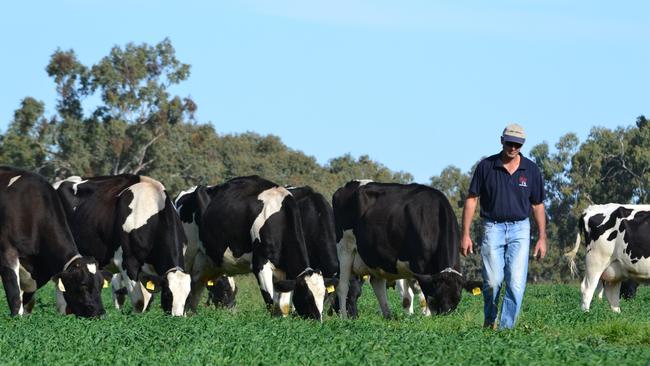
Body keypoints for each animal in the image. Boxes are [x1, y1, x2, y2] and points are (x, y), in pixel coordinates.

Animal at [0, 167, 104, 318]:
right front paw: (16, 319)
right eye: (83, 285)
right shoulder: (8, 252)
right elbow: (14, 294)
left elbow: (27, 299)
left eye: (101, 284)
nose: (101, 314)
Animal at [53, 176, 190, 316]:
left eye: (188, 297)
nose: (177, 317)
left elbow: (148, 298)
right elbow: (140, 301)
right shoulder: (128, 262)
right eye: (168, 294)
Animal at [173, 177, 324, 320]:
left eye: (324, 297)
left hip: (204, 263)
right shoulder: (260, 264)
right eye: (307, 296)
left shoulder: (283, 273)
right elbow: (271, 303)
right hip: (187, 256)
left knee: (194, 292)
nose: (318, 322)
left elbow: (283, 306)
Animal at [332, 180, 478, 318]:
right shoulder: (419, 267)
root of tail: (348, 185)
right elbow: (422, 294)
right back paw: (344, 318)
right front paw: (428, 316)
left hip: (374, 257)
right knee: (342, 287)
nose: (445, 315)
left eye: (457, 298)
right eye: (438, 296)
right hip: (344, 249)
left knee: (377, 284)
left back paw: (388, 316)